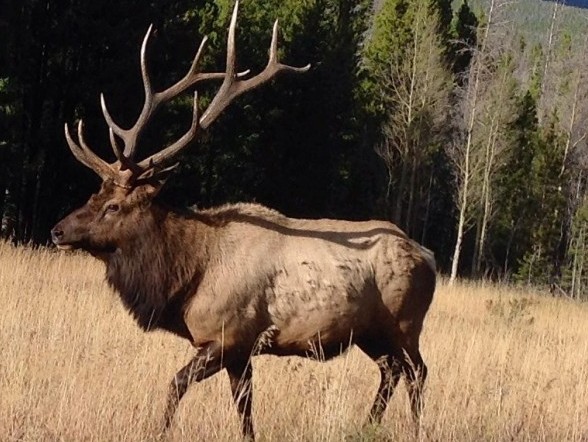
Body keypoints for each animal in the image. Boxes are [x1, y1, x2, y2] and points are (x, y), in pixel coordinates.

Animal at [51, 2, 436, 438]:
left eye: (114, 206)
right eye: (92, 195)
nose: (58, 230)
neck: (188, 276)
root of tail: (429, 256)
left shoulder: (229, 336)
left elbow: (176, 385)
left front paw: (159, 431)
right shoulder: (240, 351)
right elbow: (244, 406)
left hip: (404, 323)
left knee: (417, 372)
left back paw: (416, 430)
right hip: (371, 333)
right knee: (391, 371)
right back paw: (367, 425)